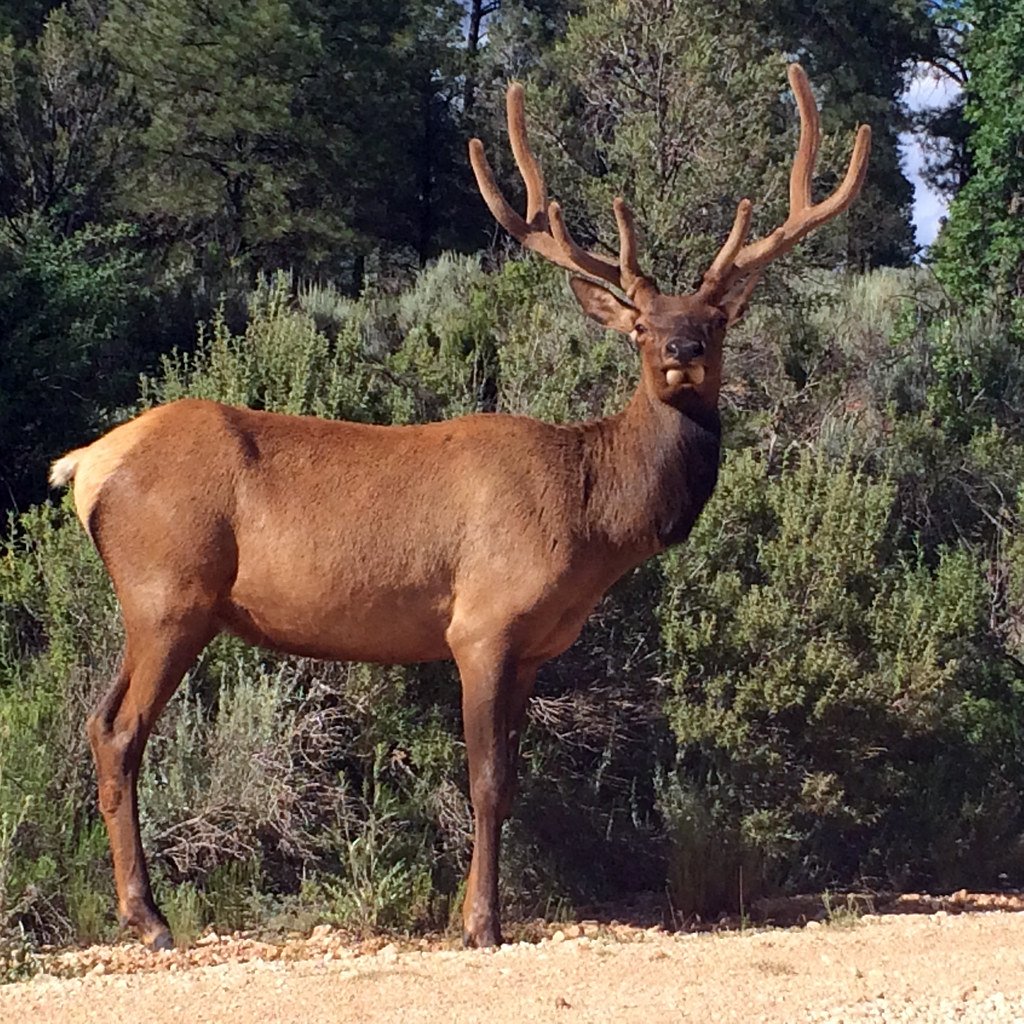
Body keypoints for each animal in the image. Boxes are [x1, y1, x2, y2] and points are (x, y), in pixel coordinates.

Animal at [49, 64, 869, 951]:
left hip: (155, 603)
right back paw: (149, 918)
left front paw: (486, 911)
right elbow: (486, 780)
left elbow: (511, 782)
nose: (682, 353)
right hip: (170, 592)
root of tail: (86, 465)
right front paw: (480, 921)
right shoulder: (482, 623)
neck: (591, 519)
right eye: (642, 327)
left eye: (714, 323)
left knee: (97, 723)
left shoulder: (537, 646)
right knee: (123, 732)